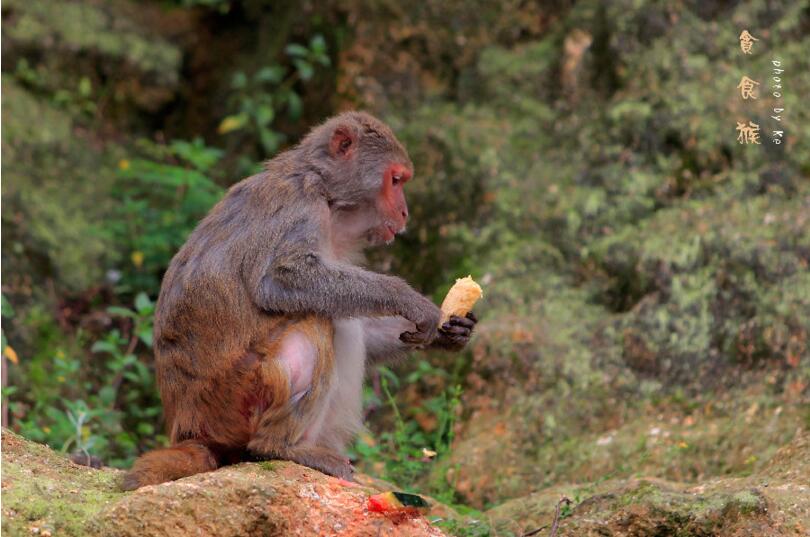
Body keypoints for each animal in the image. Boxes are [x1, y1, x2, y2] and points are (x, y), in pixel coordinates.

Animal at [120, 111, 474, 488]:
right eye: (396, 180)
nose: (405, 212)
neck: (326, 192)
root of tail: (191, 430)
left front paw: (451, 330)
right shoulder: (301, 205)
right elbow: (280, 279)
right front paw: (408, 299)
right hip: (239, 398)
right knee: (316, 321)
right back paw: (280, 447)